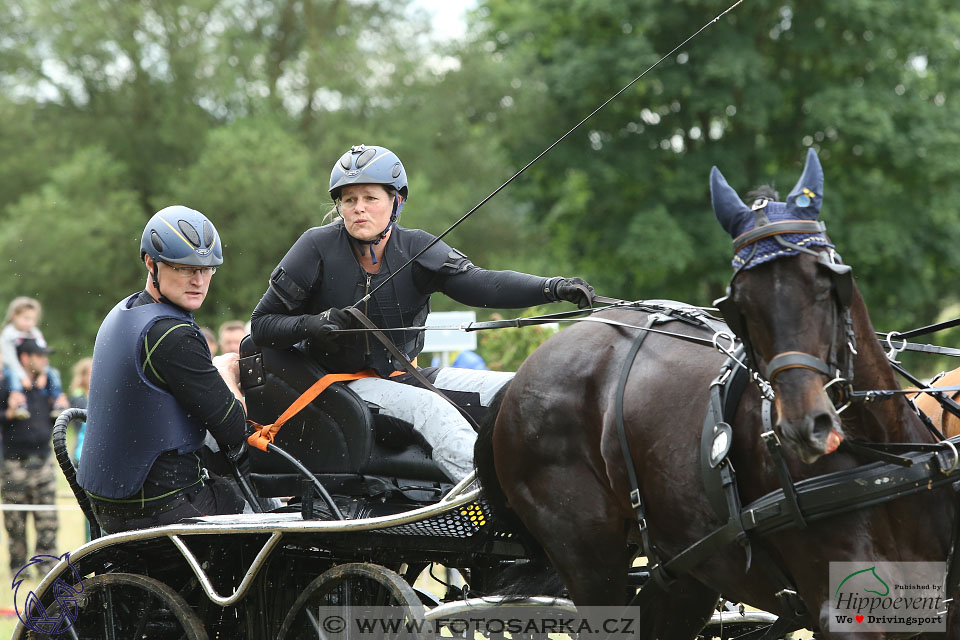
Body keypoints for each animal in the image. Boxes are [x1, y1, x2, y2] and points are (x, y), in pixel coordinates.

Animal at [474, 149, 960, 636]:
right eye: (738, 303)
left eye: (827, 283)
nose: (804, 426)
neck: (884, 461)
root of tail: (520, 376)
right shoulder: (840, 606)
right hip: (590, 561)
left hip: (688, 569)